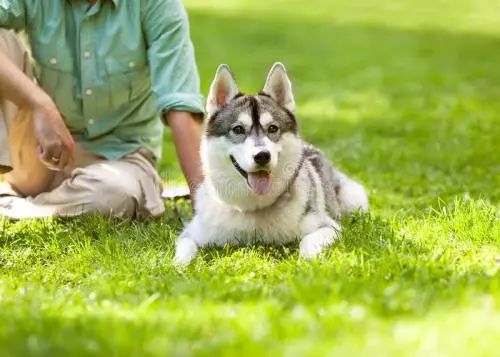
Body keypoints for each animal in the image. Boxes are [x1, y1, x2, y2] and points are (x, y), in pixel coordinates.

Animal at [174, 62, 370, 266]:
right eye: (238, 129)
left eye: (273, 128)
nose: (262, 155)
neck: (253, 207)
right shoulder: (190, 233)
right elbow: (186, 246)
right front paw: (179, 266)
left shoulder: (329, 226)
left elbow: (309, 239)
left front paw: (307, 260)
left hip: (354, 198)